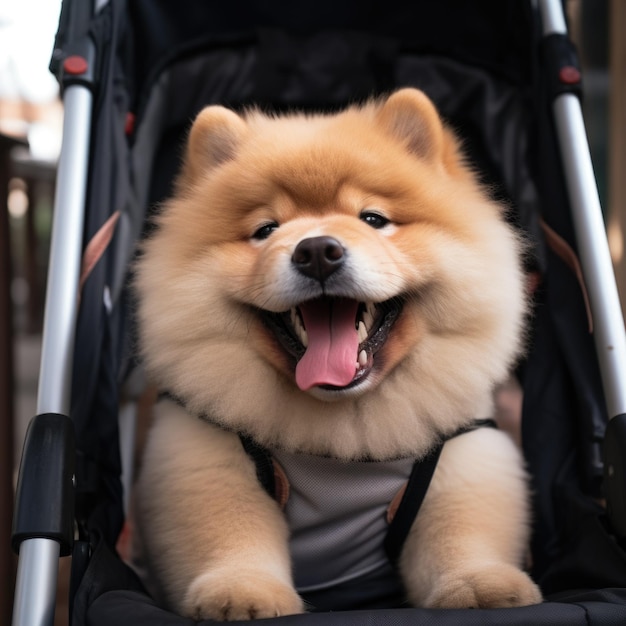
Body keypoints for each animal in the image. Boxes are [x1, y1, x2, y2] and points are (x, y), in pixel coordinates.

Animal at [133, 89, 540, 620]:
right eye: (266, 229)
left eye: (373, 219)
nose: (317, 251)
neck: (345, 433)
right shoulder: (208, 461)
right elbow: (230, 534)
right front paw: (241, 593)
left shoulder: (459, 460)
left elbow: (461, 535)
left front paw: (480, 586)